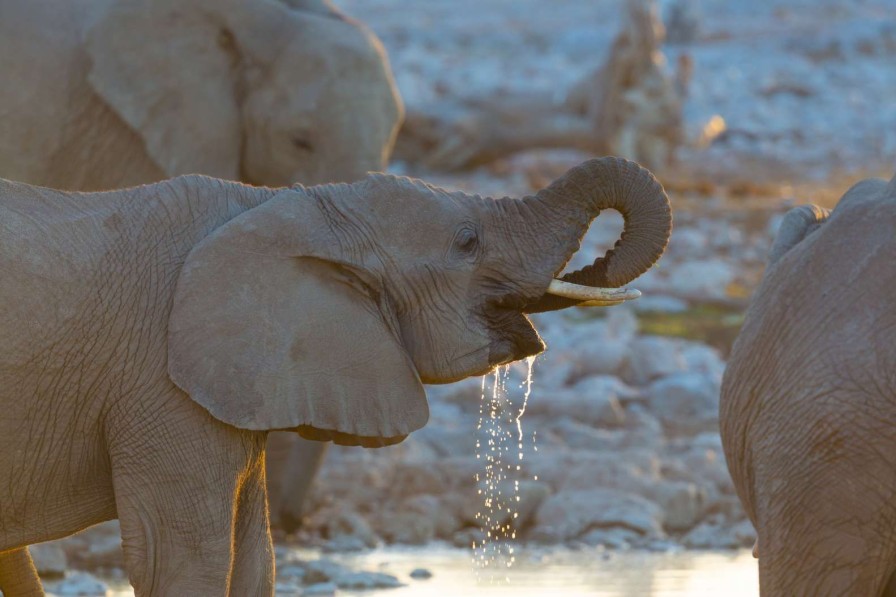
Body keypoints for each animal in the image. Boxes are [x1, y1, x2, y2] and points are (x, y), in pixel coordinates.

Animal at [0, 156, 672, 592]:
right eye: (466, 241)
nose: (597, 265)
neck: (282, 202)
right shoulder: (158, 385)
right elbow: (183, 560)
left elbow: (255, 560)